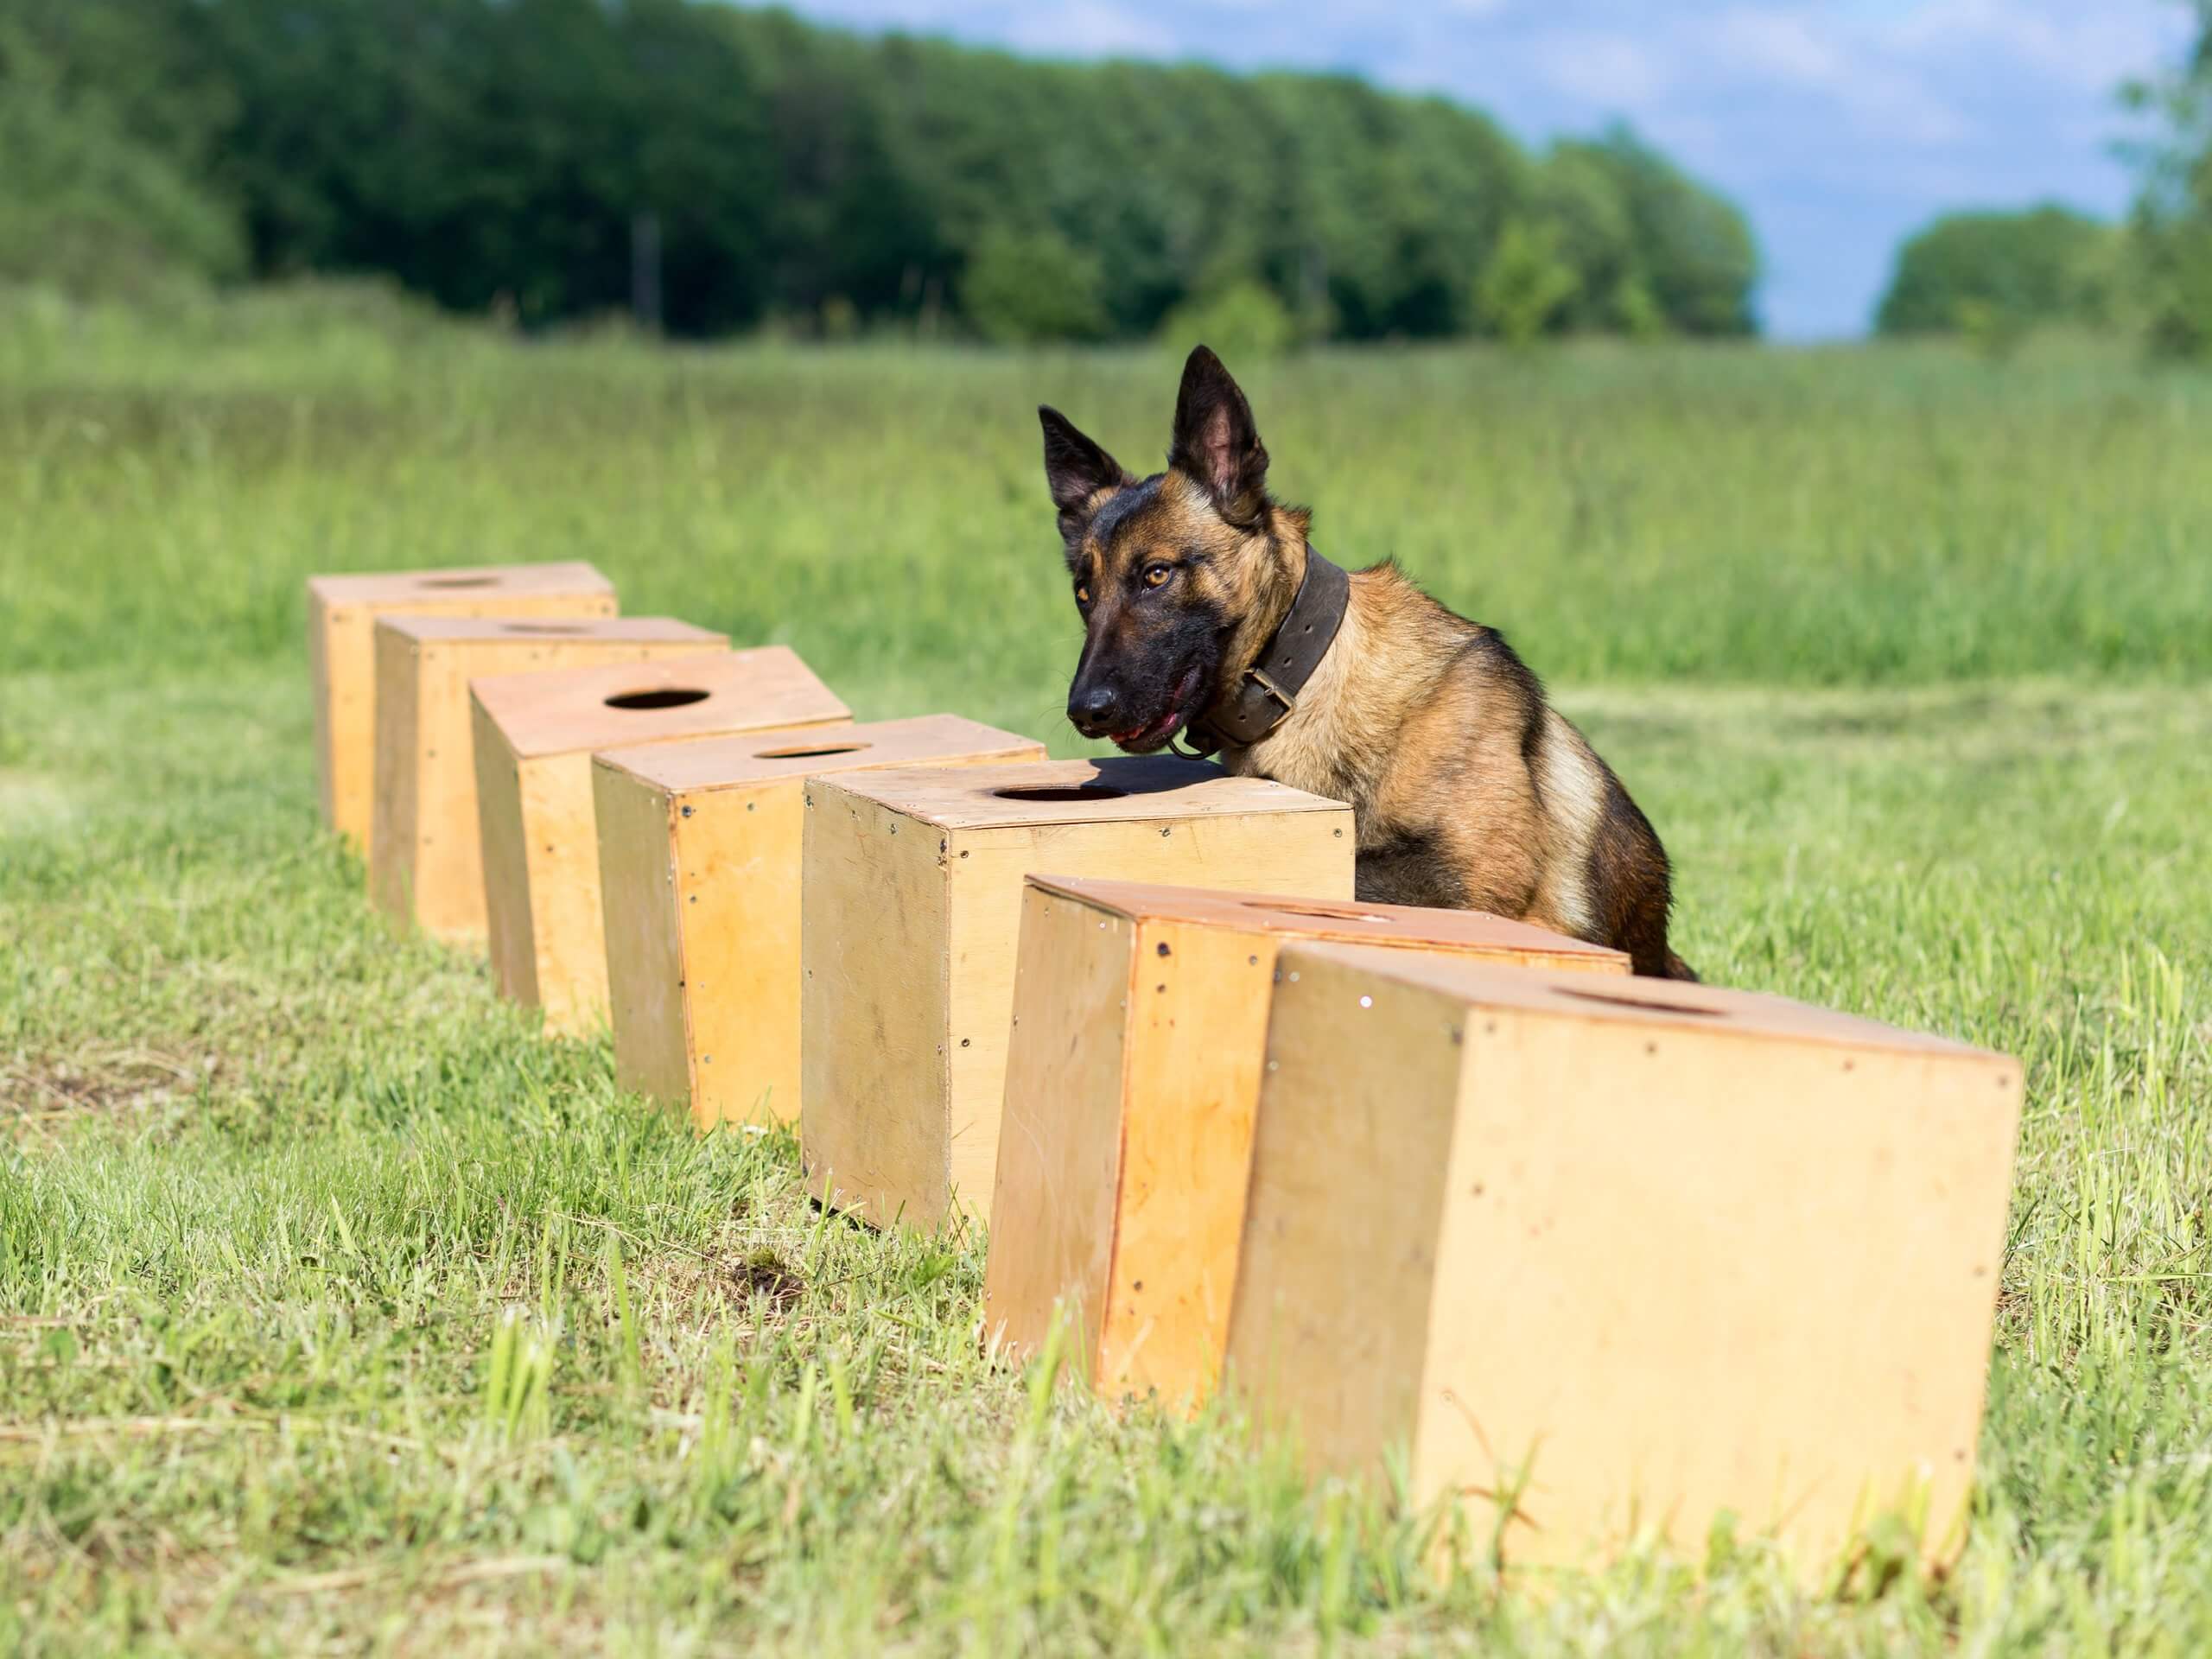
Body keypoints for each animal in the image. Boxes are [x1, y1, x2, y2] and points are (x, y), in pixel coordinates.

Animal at [1035, 345, 1689, 982]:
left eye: (1156, 574)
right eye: (1084, 594)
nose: (1085, 711)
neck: (1299, 681)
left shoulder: (1486, 892)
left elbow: (1338, 871)